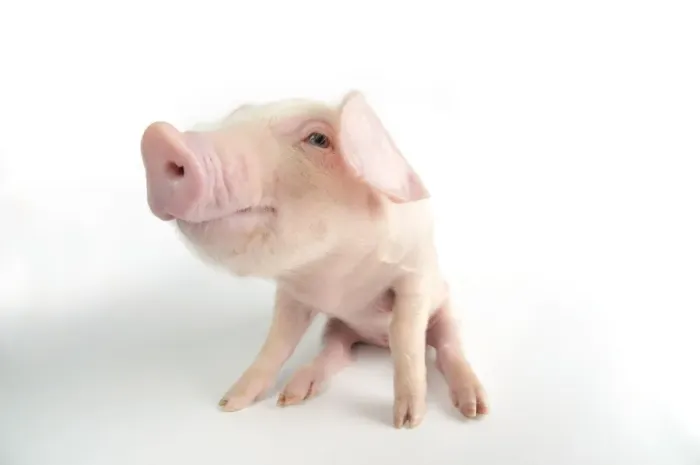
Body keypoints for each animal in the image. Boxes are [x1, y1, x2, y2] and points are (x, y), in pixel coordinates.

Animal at [139, 90, 488, 428]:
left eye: (318, 139)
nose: (158, 136)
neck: (335, 275)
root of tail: (377, 343)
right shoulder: (292, 295)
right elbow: (277, 342)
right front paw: (229, 403)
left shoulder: (414, 275)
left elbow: (406, 339)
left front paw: (407, 423)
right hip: (336, 326)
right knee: (338, 351)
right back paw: (292, 394)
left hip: (446, 312)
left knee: (447, 347)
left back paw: (475, 408)